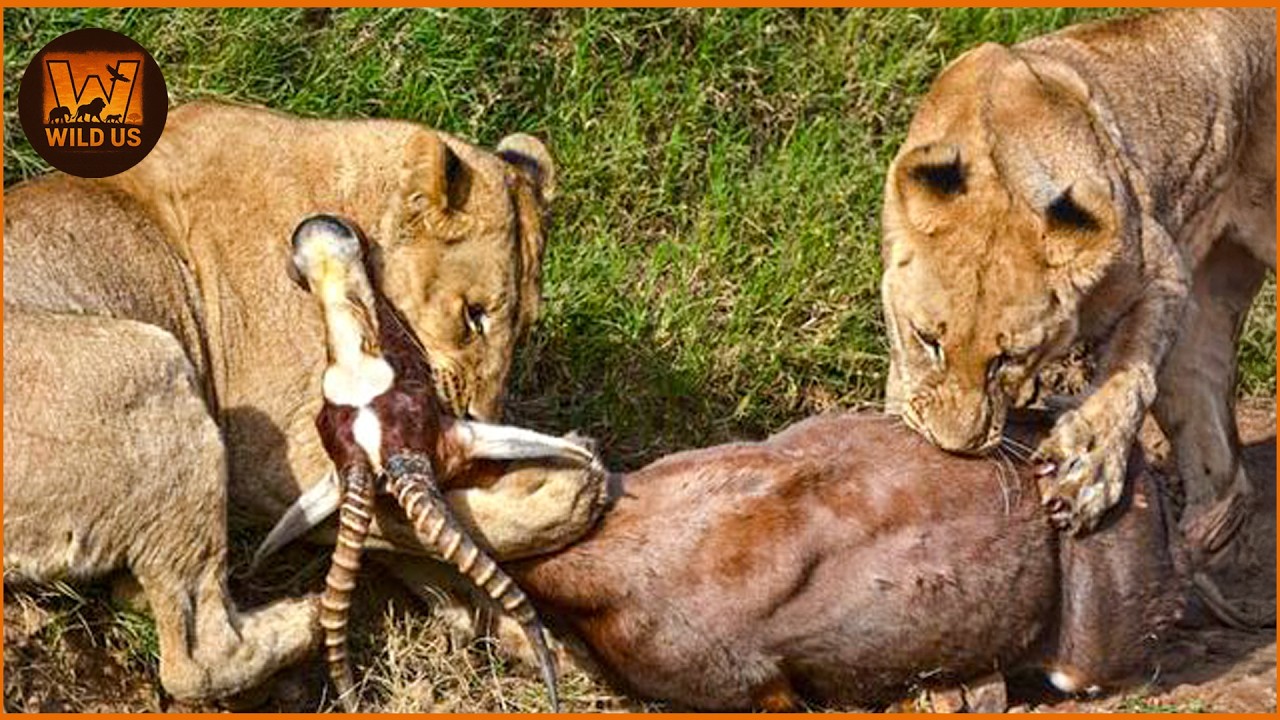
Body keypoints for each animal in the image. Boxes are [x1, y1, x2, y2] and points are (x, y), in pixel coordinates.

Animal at [3, 101, 603, 702]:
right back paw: (306, 616)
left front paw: (525, 633)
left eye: (523, 329)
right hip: (151, 360)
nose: (482, 416)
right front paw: (575, 489)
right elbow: (424, 515)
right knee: (198, 658)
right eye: (473, 316)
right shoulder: (270, 463)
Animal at [880, 8, 1274, 551]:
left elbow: (1129, 374)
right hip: (1203, 328)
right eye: (927, 339)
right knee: (1227, 476)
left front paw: (1084, 469)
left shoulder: (1163, 271)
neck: (1003, 163)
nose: (954, 447)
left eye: (1008, 358)